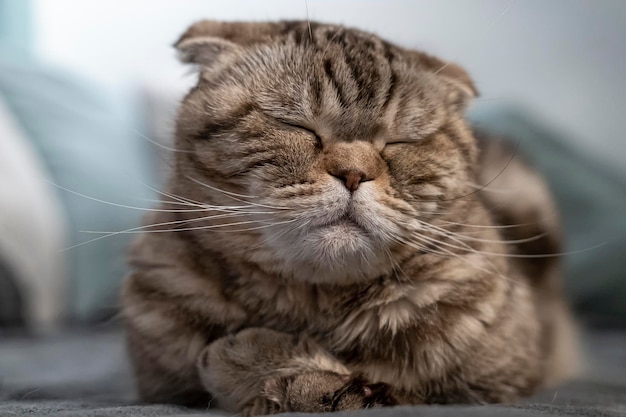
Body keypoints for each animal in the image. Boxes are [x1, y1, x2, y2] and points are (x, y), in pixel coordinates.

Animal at [119, 21, 576, 414]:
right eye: (296, 125)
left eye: (400, 141)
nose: (354, 174)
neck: (314, 306)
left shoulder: (489, 390)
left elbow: (354, 388)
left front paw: (251, 361)